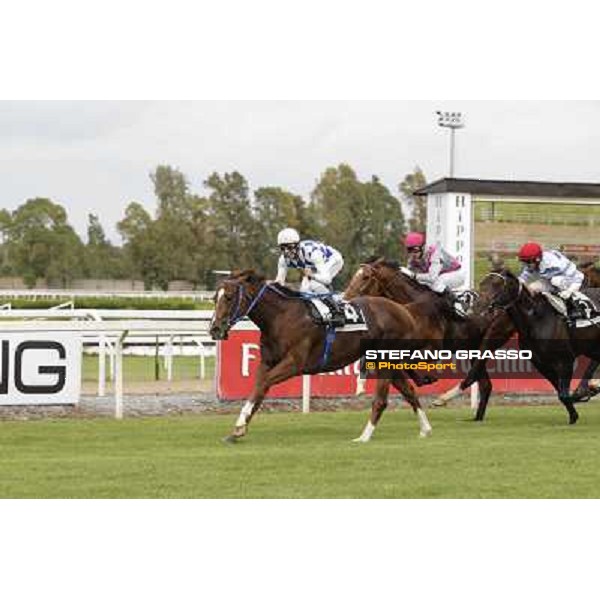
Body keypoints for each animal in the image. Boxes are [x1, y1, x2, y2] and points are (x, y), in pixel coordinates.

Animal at [211, 270, 440, 440]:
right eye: (214, 298)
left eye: (229, 297)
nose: (214, 329)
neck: (281, 317)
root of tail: (406, 312)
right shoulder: (268, 361)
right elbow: (258, 389)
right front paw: (239, 428)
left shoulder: (294, 363)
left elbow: (263, 384)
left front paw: (240, 425)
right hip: (386, 361)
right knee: (409, 391)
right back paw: (425, 429)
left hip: (385, 358)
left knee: (381, 400)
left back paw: (364, 437)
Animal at [342, 258, 516, 422]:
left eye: (365, 277)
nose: (345, 299)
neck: (413, 307)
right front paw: (361, 385)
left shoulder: (433, 348)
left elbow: (409, 363)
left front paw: (427, 378)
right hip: (472, 347)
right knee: (485, 384)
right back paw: (476, 418)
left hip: (489, 340)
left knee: (474, 375)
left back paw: (443, 399)